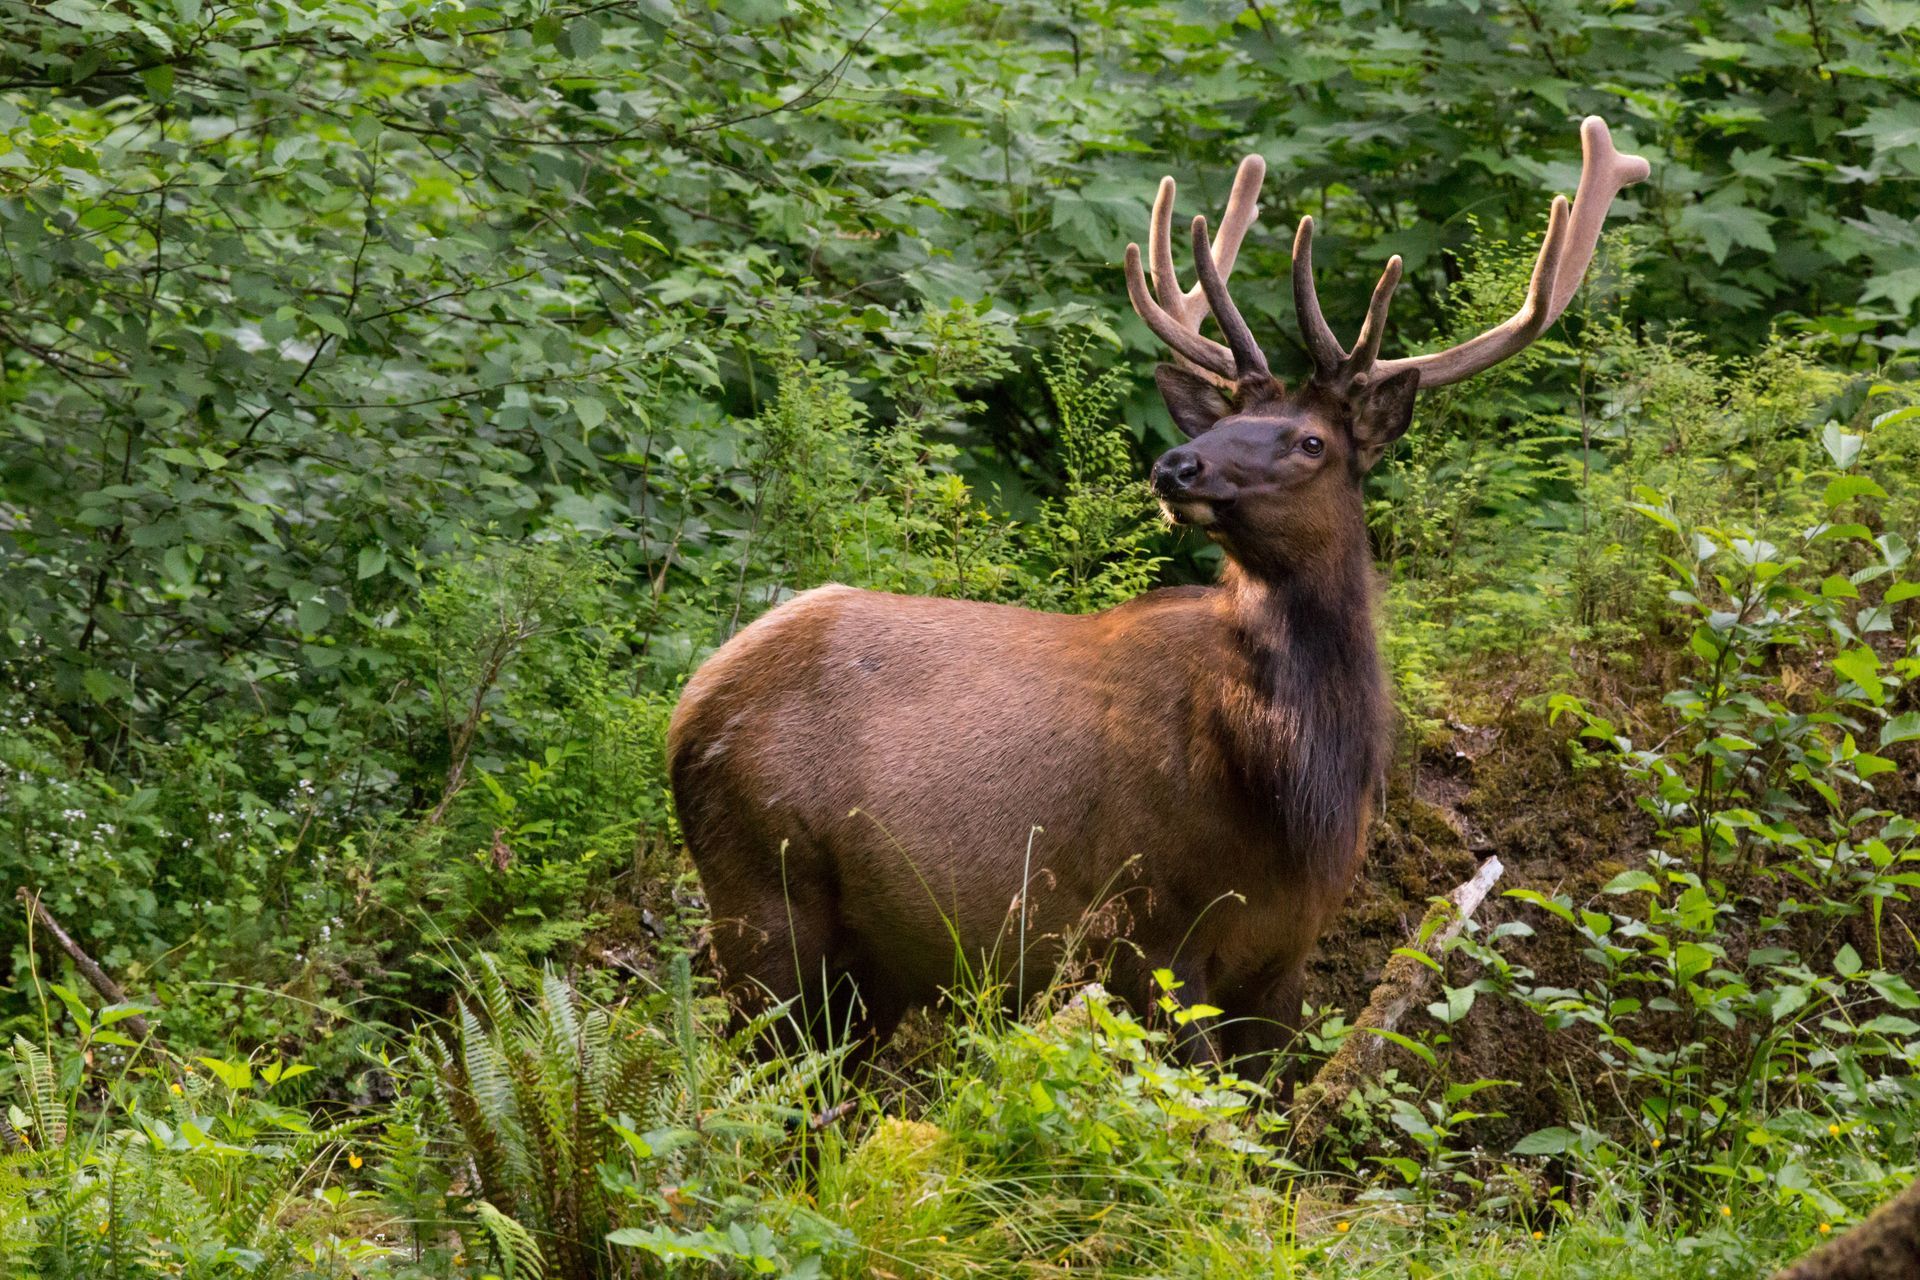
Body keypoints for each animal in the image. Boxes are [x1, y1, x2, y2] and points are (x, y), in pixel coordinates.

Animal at [668, 119, 1643, 1082]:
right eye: (1221, 422)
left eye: (1311, 441)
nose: (1177, 464)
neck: (1297, 792)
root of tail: (688, 707)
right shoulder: (1147, 931)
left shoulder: (1286, 955)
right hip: (761, 899)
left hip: (867, 968)